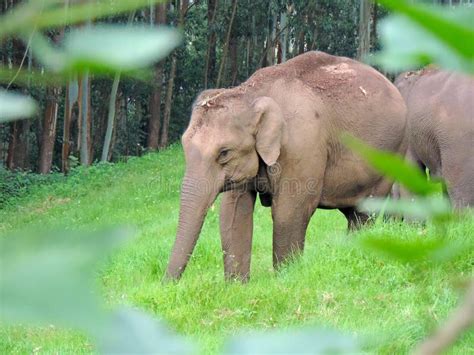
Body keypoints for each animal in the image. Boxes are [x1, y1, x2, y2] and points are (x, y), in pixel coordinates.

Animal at [165, 50, 406, 284]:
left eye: (224, 153)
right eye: (184, 145)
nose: (167, 285)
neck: (251, 93)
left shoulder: (302, 146)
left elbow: (289, 210)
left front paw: (285, 278)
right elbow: (233, 211)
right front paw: (236, 287)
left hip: (392, 155)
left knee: (366, 211)